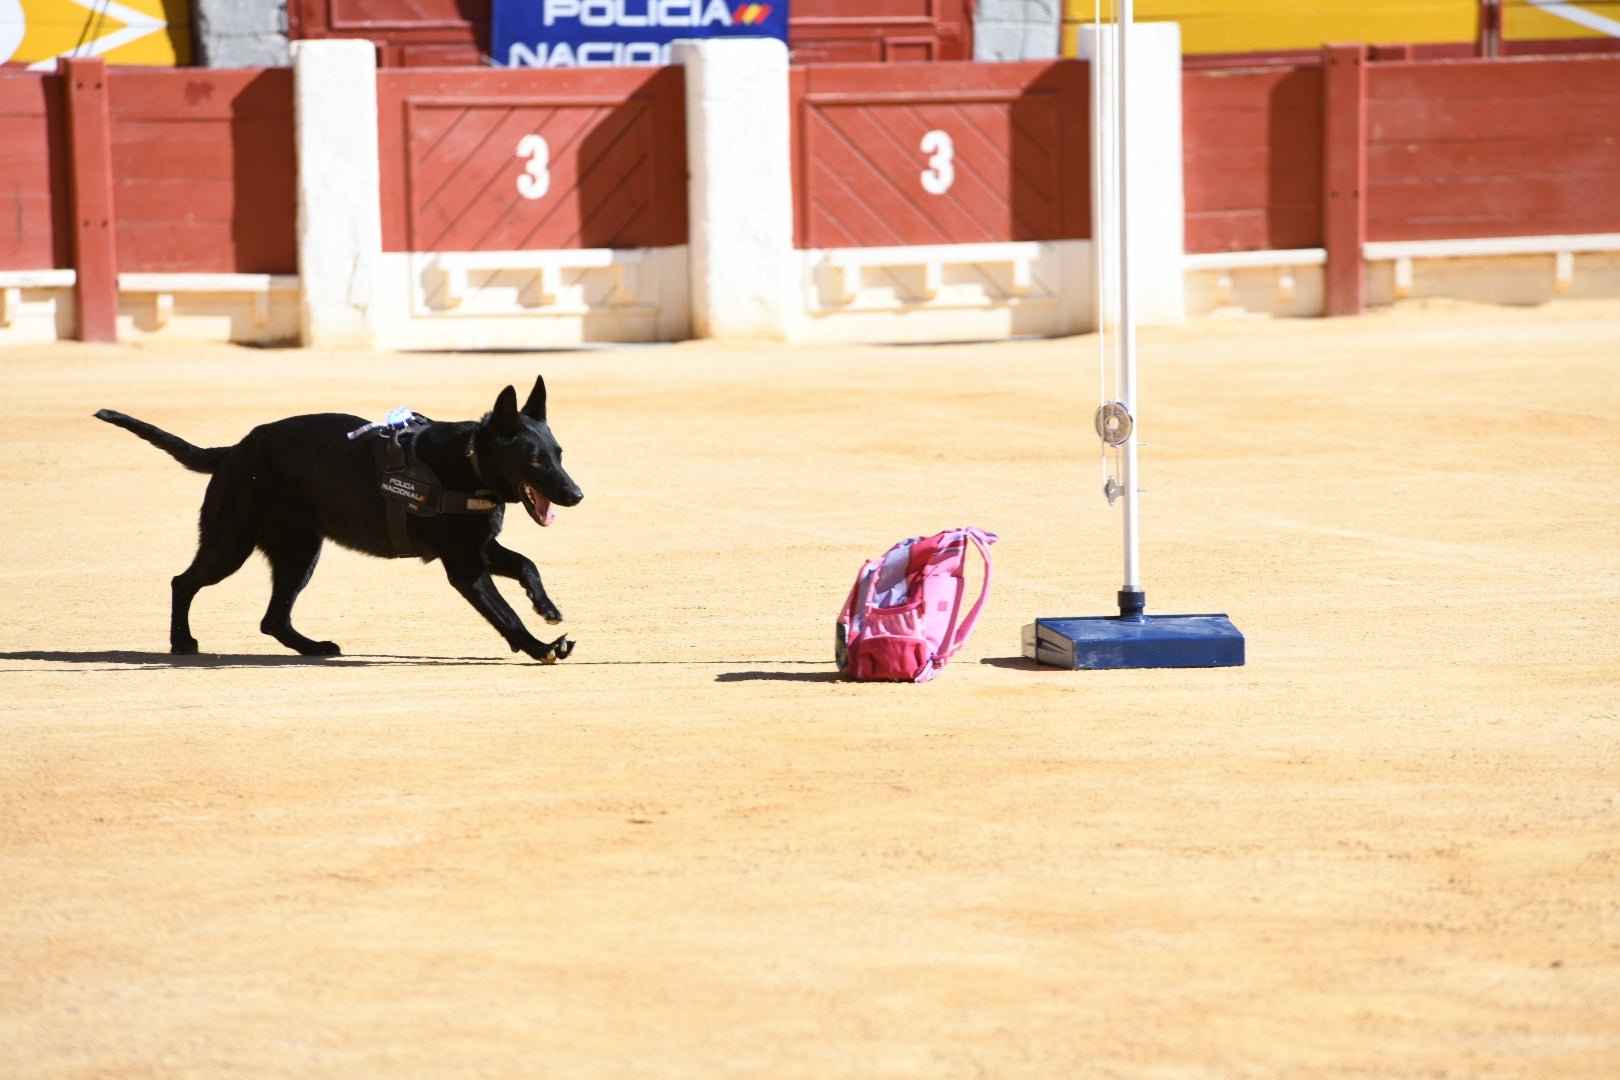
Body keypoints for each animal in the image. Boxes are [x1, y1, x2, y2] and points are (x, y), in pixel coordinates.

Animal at [94, 380, 583, 667]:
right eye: (534, 459)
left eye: (559, 454)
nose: (576, 495)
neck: (468, 462)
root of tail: (233, 451)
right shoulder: (464, 567)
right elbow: (506, 615)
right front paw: (541, 647)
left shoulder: (480, 549)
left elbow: (526, 564)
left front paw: (546, 607)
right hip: (230, 544)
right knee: (183, 582)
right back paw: (182, 641)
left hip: (298, 553)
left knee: (273, 620)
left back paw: (312, 648)